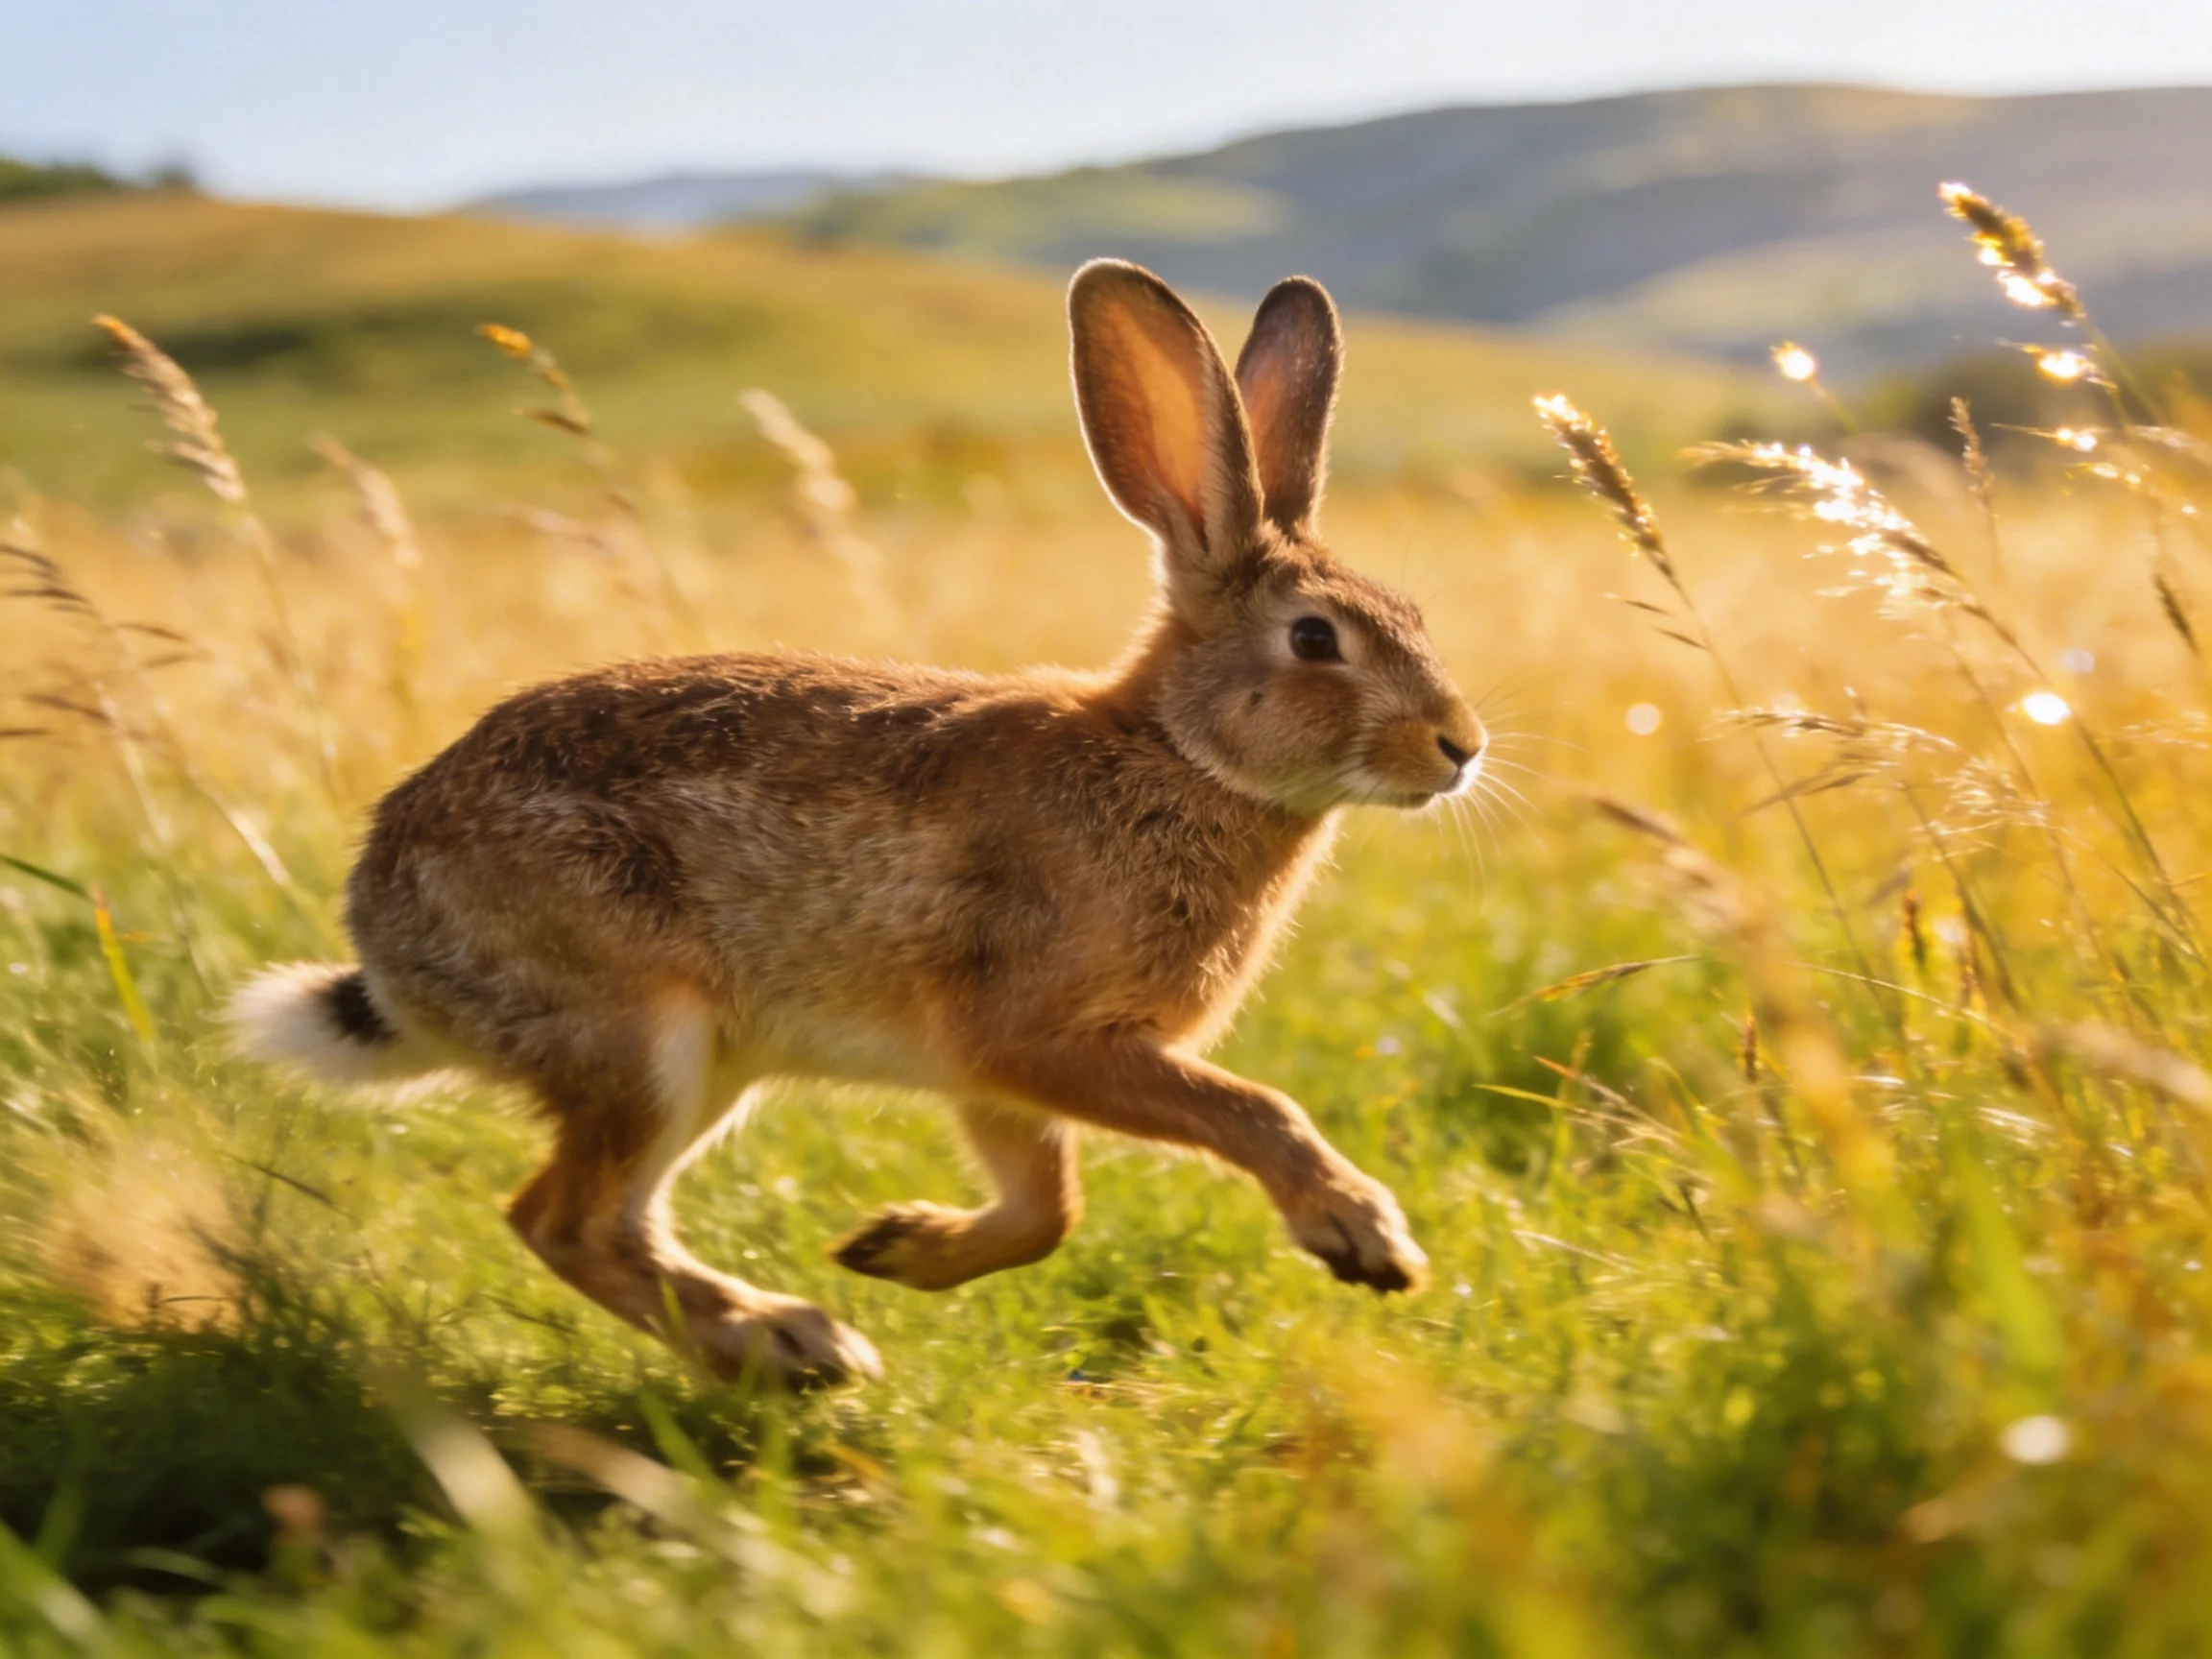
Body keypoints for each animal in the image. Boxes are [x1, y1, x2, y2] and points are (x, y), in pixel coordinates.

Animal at [230, 260, 1487, 1389]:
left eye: (1419, 618)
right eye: (1316, 639)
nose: (1460, 745)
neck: (1177, 754)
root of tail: (384, 930)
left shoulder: (993, 1079)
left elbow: (1046, 1209)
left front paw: (900, 1247)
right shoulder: (1036, 1037)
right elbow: (1246, 1109)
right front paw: (1362, 1234)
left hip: (705, 1064)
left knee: (594, 1219)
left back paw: (789, 1340)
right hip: (637, 1033)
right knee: (563, 1219)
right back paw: (794, 1344)